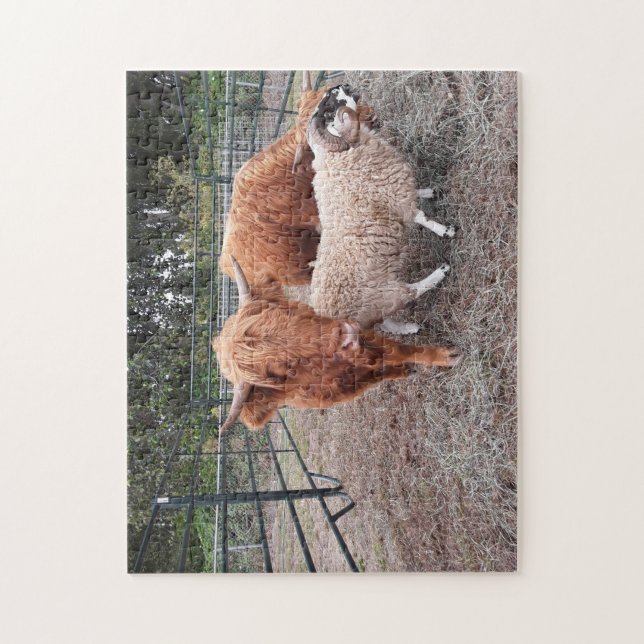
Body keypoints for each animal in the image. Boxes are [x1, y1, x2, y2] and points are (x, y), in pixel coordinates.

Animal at [212, 257, 461, 430]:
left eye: (288, 312)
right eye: (284, 369)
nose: (346, 334)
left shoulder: (367, 340)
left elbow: (405, 350)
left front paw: (447, 356)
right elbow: (388, 367)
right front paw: (404, 371)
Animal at [307, 91, 456, 333]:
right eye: (330, 108)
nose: (343, 86)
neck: (336, 158)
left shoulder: (396, 188)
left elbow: (417, 193)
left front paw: (430, 192)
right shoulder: (396, 201)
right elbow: (421, 217)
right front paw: (446, 231)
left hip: (374, 309)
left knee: (386, 323)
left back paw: (410, 328)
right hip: (383, 294)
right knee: (410, 292)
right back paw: (440, 272)